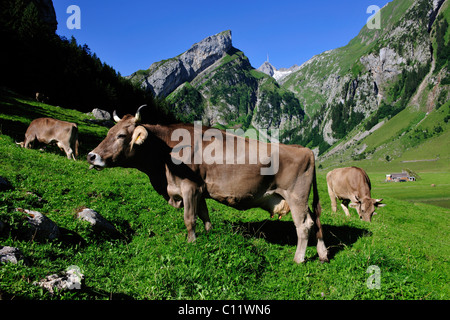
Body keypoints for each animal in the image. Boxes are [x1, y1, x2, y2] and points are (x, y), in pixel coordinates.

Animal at [88, 106, 328, 264]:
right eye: (108, 133)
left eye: (121, 135)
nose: (91, 156)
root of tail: (305, 150)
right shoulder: (200, 191)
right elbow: (204, 216)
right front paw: (209, 235)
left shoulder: (189, 187)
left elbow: (189, 218)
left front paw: (191, 243)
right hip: (299, 198)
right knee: (315, 221)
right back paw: (323, 253)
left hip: (296, 196)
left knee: (303, 226)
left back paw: (298, 258)